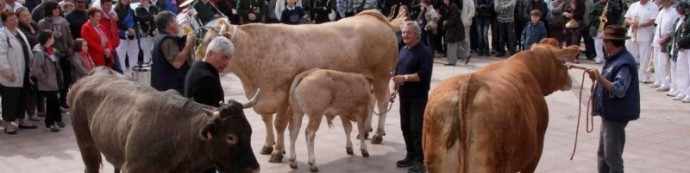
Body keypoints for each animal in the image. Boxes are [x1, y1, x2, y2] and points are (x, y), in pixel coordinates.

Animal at [196, 9, 400, 162]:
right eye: (204, 39)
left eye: (210, 40)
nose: (199, 58)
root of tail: (371, 17)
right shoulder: (261, 96)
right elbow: (266, 121)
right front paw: (268, 146)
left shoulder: (282, 96)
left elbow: (279, 124)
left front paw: (278, 152)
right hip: (367, 78)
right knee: (372, 101)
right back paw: (365, 130)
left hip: (381, 75)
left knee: (382, 101)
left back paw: (377, 134)